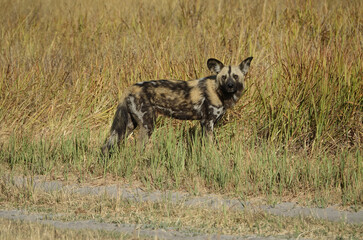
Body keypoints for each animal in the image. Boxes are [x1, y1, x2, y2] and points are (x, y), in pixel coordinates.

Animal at [102, 56, 253, 154]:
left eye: (235, 76)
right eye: (224, 77)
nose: (230, 86)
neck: (219, 91)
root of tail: (131, 87)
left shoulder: (207, 124)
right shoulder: (207, 122)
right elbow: (211, 146)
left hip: (128, 125)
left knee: (109, 144)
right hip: (147, 125)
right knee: (138, 149)